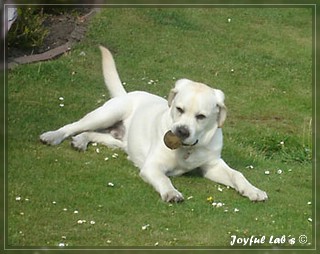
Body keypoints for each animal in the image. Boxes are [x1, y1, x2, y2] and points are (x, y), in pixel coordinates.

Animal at [40, 46, 268, 203]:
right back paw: (53, 136)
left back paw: (80, 141)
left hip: (119, 141)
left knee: (93, 133)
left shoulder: (212, 166)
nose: (181, 131)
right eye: (179, 109)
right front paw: (171, 193)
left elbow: (237, 174)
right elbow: (164, 179)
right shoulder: (152, 166)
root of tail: (127, 93)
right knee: (74, 125)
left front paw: (253, 190)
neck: (187, 149)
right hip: (106, 114)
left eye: (201, 116)